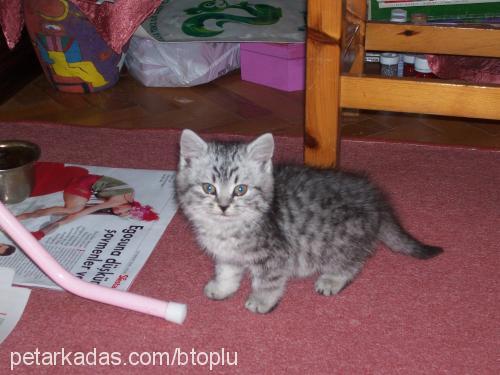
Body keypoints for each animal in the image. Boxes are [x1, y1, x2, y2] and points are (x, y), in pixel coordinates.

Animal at [176, 129, 442, 314]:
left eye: (240, 189)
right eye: (209, 188)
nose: (223, 206)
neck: (225, 228)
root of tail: (375, 198)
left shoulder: (275, 255)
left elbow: (268, 281)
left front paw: (262, 301)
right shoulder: (227, 255)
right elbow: (227, 271)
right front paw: (222, 288)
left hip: (343, 239)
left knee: (353, 262)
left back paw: (332, 279)